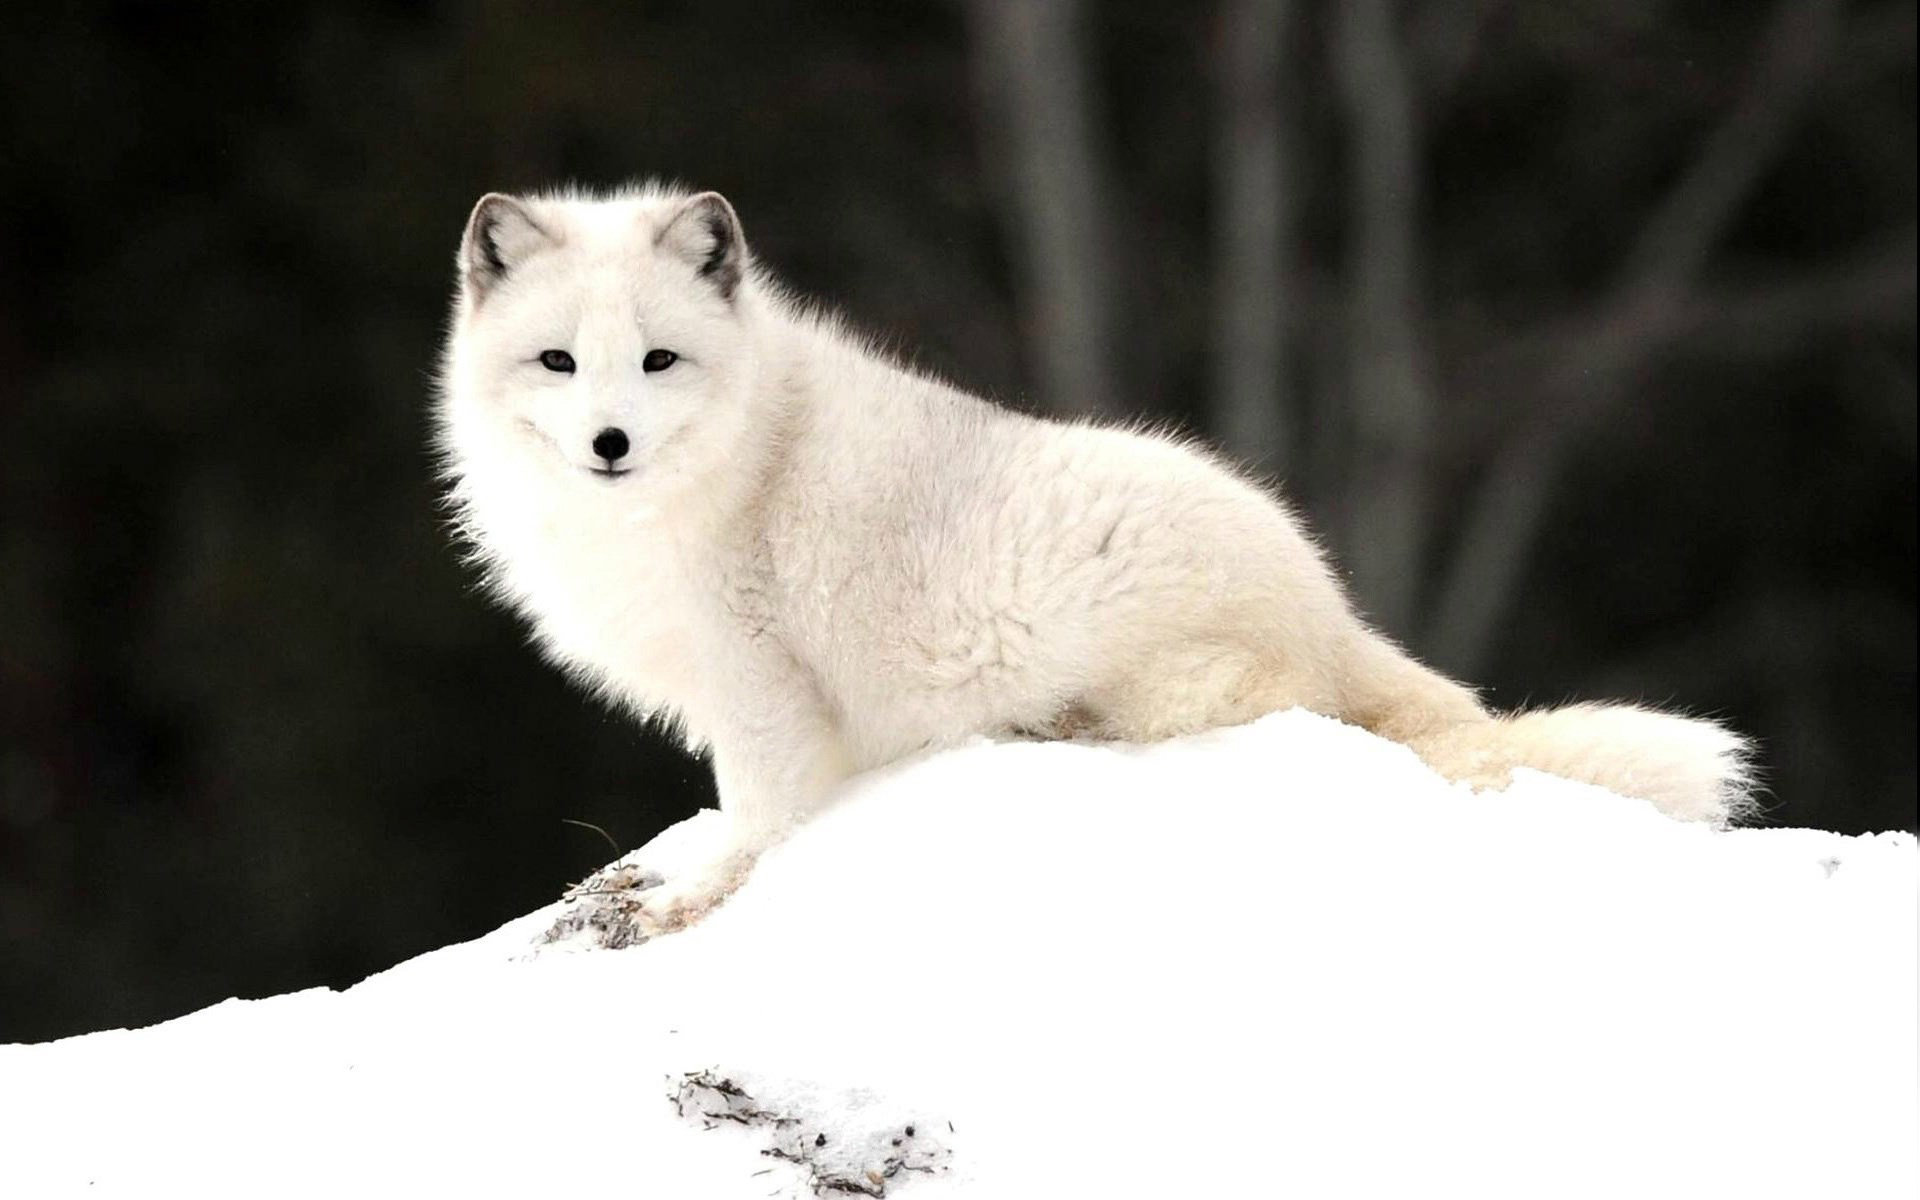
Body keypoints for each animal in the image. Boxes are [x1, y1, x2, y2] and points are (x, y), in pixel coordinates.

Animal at [439, 185, 1758, 936]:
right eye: (560, 362)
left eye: (658, 361)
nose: (610, 444)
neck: (733, 456)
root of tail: (1330, 603)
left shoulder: (758, 681)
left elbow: (758, 819)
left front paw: (686, 902)